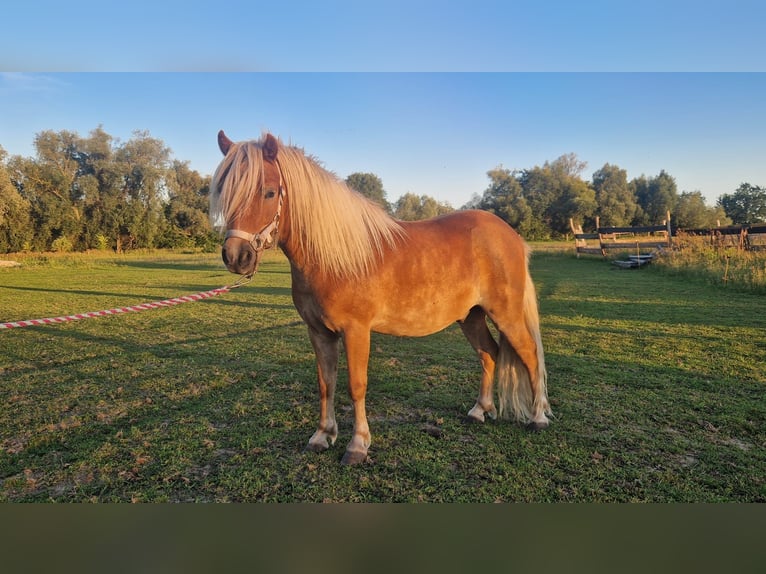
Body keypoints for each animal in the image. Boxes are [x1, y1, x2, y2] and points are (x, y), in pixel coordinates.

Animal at [210, 133, 552, 466]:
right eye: (226, 193)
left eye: (268, 193)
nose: (236, 257)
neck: (336, 259)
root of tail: (511, 235)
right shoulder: (319, 332)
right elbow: (326, 384)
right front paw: (322, 436)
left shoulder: (356, 331)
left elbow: (356, 385)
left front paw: (357, 445)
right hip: (471, 316)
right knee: (489, 354)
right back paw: (480, 411)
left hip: (506, 314)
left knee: (530, 354)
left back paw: (537, 418)